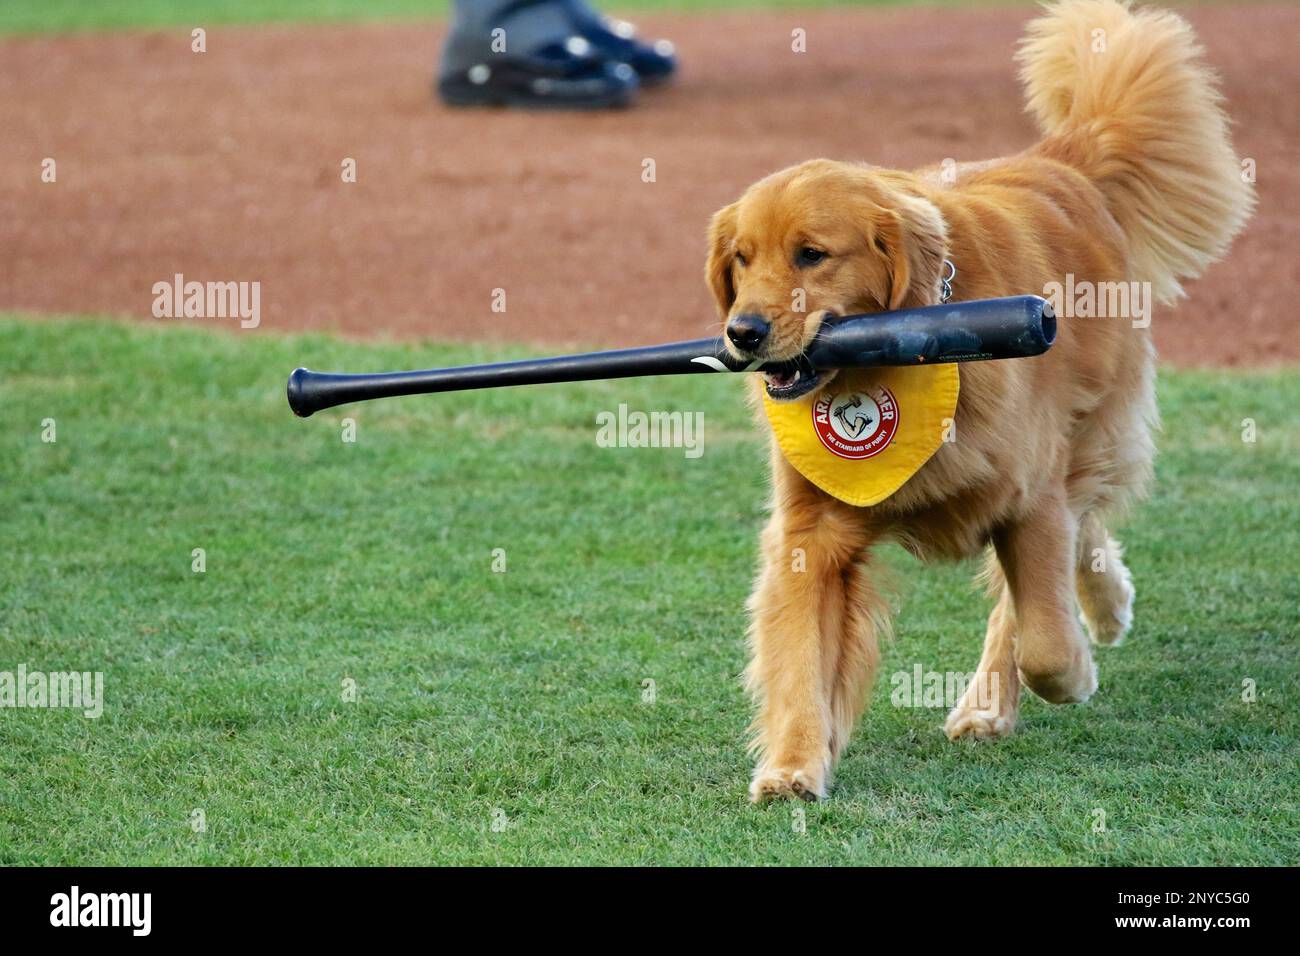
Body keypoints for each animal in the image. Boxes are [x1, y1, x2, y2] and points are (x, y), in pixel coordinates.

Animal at [707, 0, 1253, 801]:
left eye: (812, 254)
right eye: (740, 260)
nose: (741, 332)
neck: (900, 356)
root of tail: (1057, 159)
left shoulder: (1028, 496)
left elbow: (1046, 643)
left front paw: (1074, 671)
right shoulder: (811, 532)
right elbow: (799, 657)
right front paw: (794, 765)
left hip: (1085, 432)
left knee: (1056, 555)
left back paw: (1019, 678)